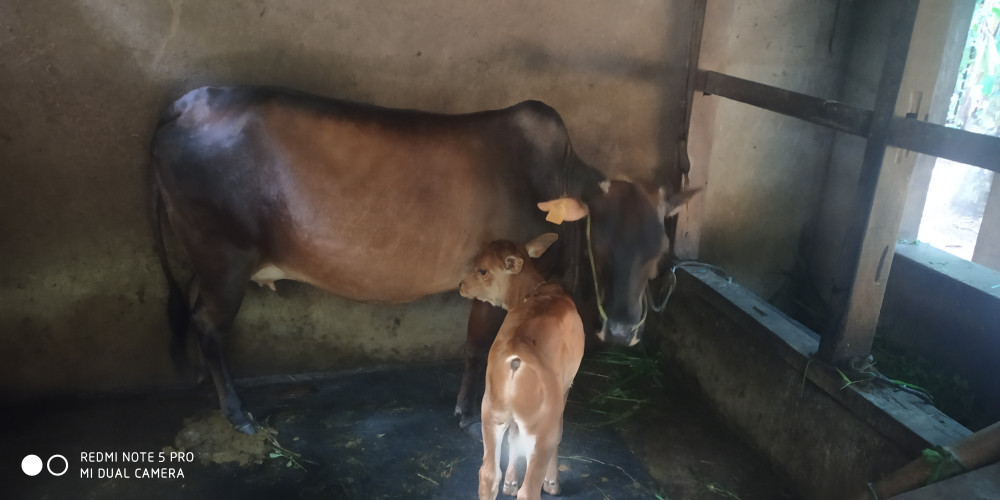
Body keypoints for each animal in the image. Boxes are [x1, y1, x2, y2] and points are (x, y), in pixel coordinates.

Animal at [150, 85, 697, 433]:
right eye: (599, 241)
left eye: (659, 252)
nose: (623, 330)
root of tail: (185, 104)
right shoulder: (493, 276)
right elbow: (479, 345)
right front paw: (466, 411)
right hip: (222, 257)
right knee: (208, 326)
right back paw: (237, 411)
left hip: (208, 261)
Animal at [458, 234, 585, 500]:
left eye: (482, 269)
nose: (461, 285)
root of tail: (516, 359)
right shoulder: (566, 387)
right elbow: (559, 433)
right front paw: (552, 483)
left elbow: (514, 437)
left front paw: (509, 483)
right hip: (542, 428)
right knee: (529, 489)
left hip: (491, 412)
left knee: (487, 474)